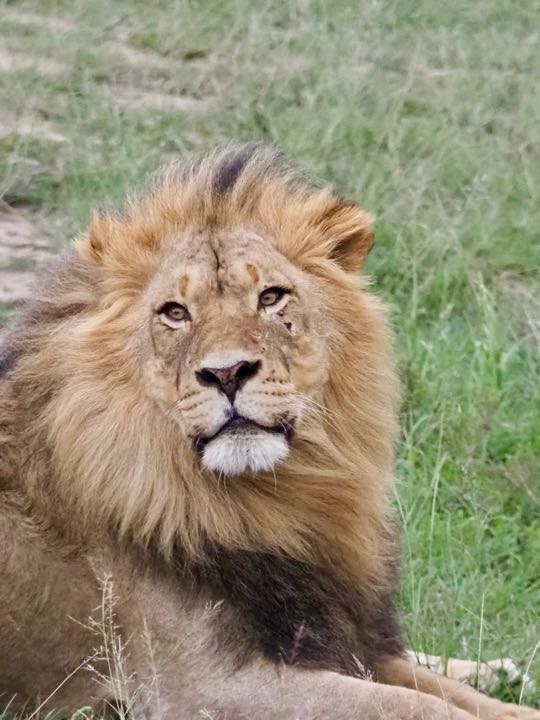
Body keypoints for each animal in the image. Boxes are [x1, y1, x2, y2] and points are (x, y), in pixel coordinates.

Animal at [0, 144, 537, 720]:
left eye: (271, 297)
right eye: (175, 312)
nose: (227, 372)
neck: (273, 503)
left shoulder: (339, 634)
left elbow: (458, 698)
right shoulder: (201, 688)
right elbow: (417, 706)